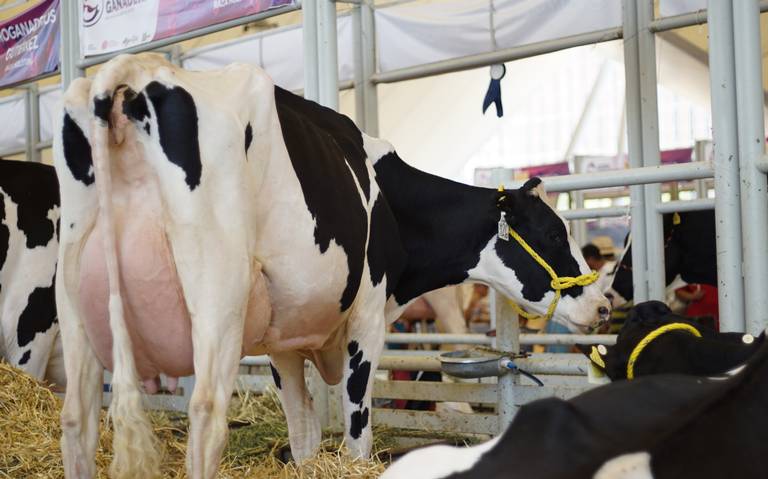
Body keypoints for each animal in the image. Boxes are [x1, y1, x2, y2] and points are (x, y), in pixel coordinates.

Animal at [52, 54, 608, 478]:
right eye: (554, 232)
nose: (603, 306)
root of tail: (135, 71)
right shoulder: (366, 312)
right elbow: (357, 423)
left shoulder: (281, 338)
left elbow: (302, 435)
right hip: (217, 298)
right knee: (205, 416)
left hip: (75, 300)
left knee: (77, 419)